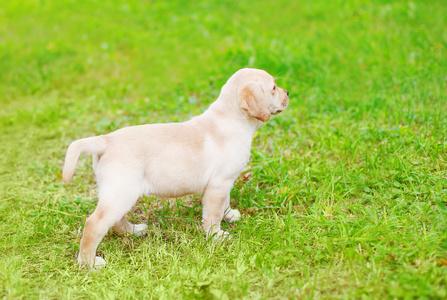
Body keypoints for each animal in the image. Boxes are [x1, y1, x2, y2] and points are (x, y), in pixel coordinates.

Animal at [63, 68, 290, 270]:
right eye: (273, 88)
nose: (288, 93)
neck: (231, 119)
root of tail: (105, 140)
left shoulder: (225, 183)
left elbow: (224, 203)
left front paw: (229, 215)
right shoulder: (218, 184)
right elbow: (213, 214)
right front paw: (216, 235)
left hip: (121, 193)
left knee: (117, 220)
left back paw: (133, 231)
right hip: (122, 193)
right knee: (94, 224)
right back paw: (89, 263)